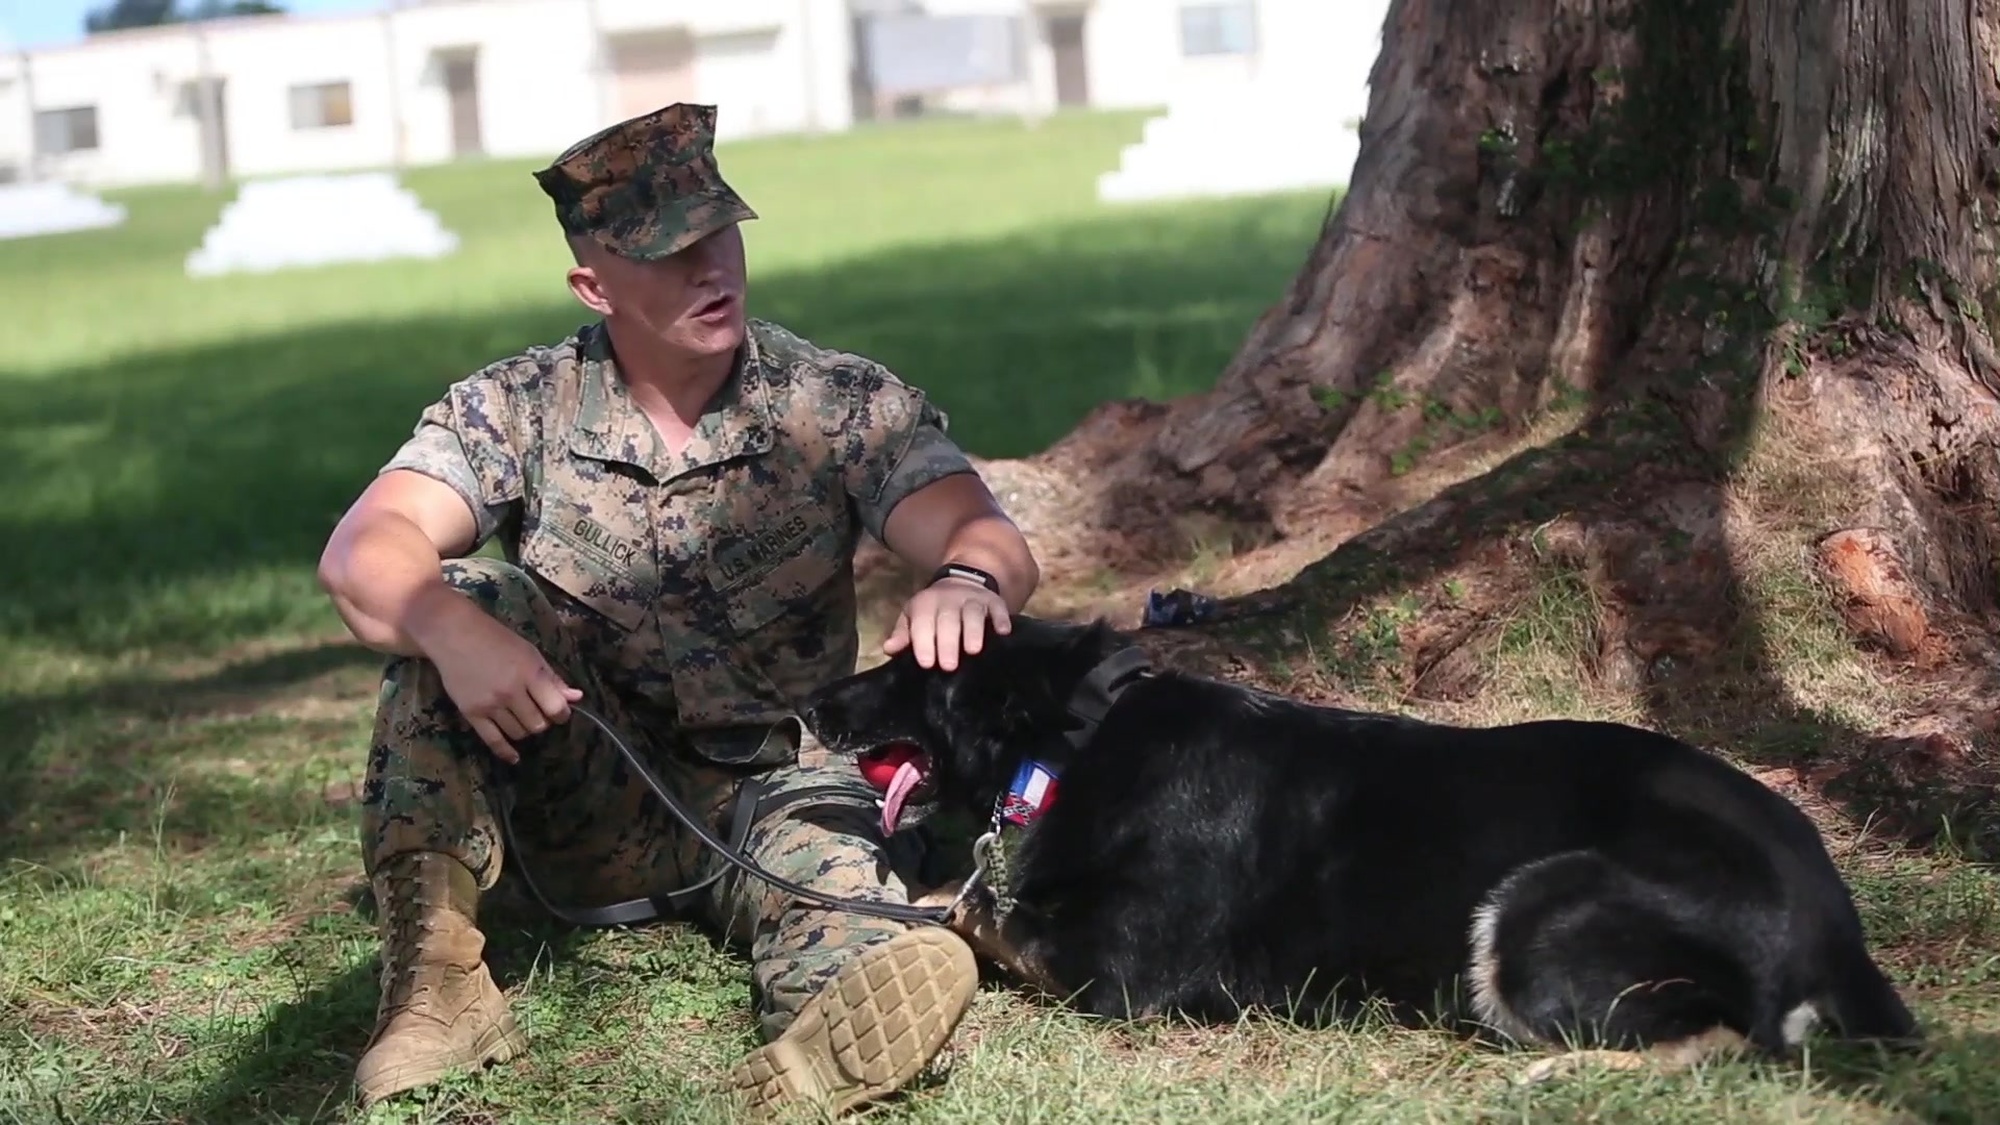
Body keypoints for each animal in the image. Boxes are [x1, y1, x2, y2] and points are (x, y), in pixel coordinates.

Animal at [800, 612, 1920, 1080]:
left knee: (1726, 1047)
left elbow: (981, 912)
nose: (806, 704)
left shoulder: (1119, 971)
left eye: (904, 669)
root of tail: (1836, 931)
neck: (1073, 739)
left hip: (1534, 907)